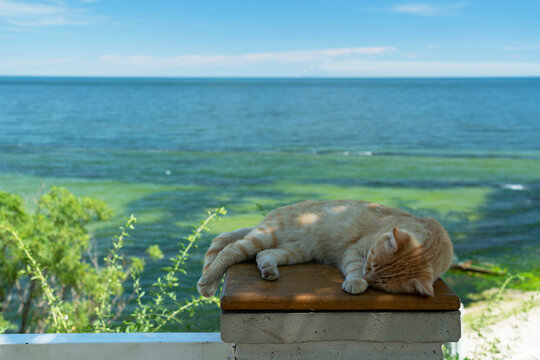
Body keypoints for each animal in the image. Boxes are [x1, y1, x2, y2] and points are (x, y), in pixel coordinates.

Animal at [196, 198, 454, 296]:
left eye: (380, 283)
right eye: (370, 262)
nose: (367, 275)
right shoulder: (355, 250)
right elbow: (352, 267)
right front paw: (356, 281)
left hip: (296, 251)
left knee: (264, 254)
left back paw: (268, 270)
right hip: (267, 235)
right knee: (230, 250)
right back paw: (208, 282)